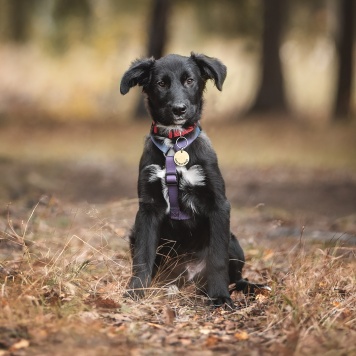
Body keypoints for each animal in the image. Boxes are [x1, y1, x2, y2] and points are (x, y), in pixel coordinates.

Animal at [120, 51, 268, 308]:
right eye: (161, 83)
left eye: (189, 80)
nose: (179, 109)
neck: (174, 143)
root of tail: (187, 279)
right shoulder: (147, 209)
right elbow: (143, 256)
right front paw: (136, 291)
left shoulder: (219, 205)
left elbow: (217, 258)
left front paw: (220, 297)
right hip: (134, 233)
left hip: (234, 241)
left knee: (237, 278)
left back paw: (247, 287)